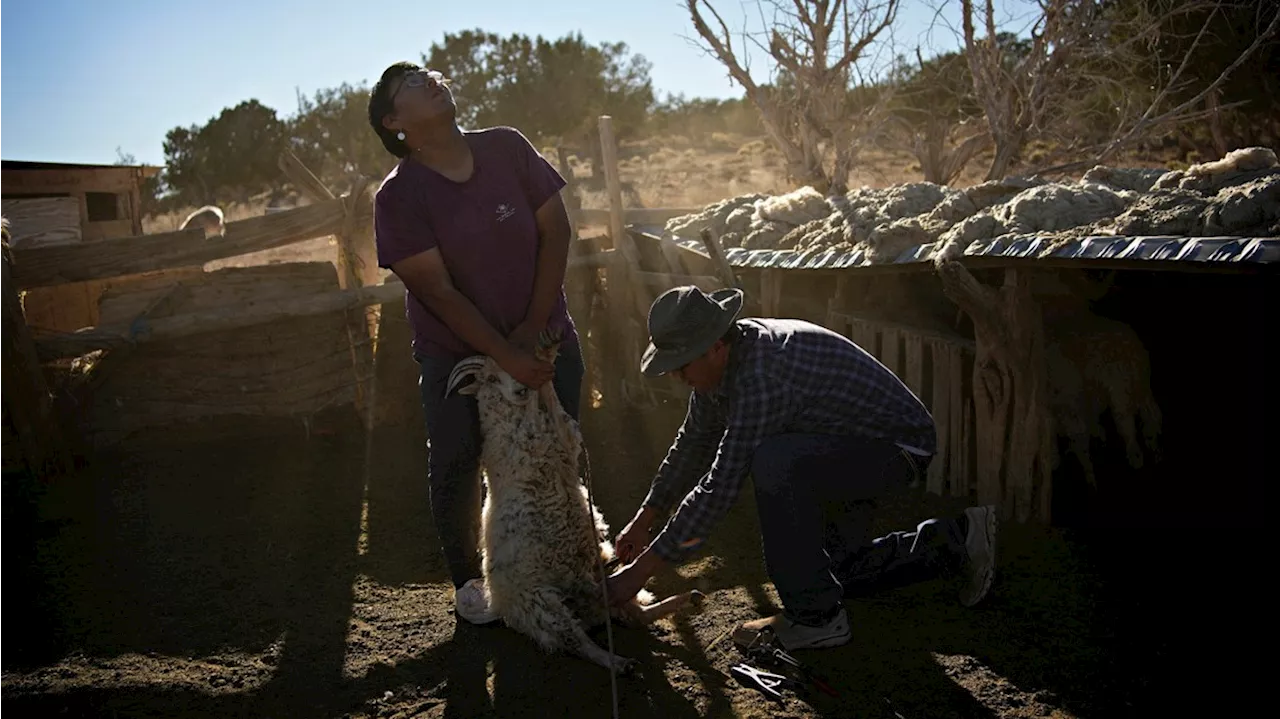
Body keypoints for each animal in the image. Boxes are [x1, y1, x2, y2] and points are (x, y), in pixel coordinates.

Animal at [445, 330, 706, 670]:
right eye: (489, 377)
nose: (518, 388)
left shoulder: (564, 440)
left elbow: (552, 403)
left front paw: (547, 352)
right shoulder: (532, 441)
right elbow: (538, 403)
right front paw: (542, 362)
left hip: (598, 581)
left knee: (634, 616)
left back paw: (688, 599)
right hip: (544, 606)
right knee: (577, 642)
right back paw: (620, 663)